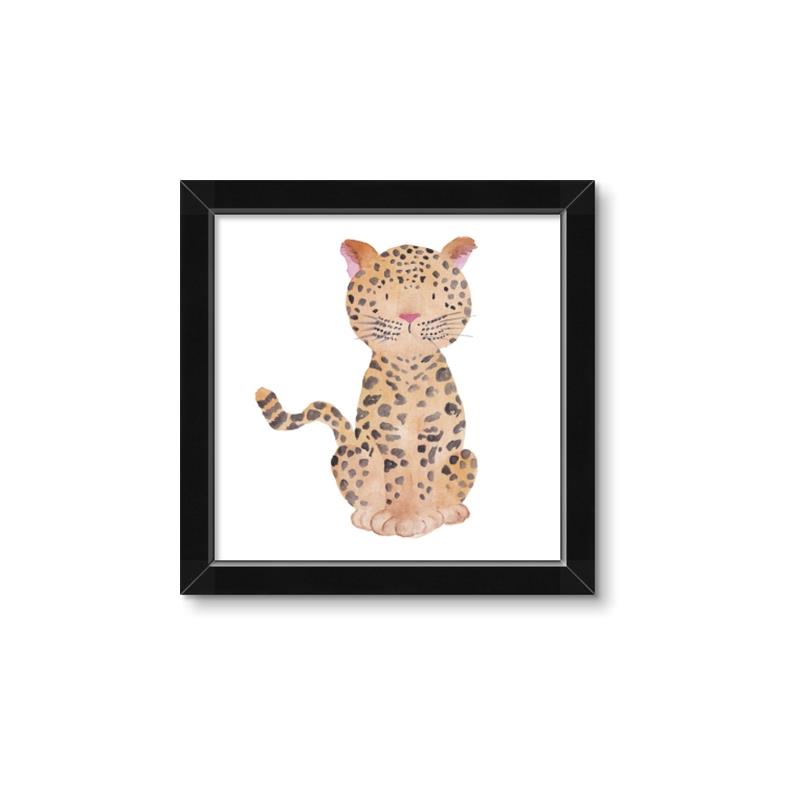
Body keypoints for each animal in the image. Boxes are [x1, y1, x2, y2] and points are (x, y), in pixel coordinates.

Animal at [255, 237, 478, 537]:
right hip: (347, 456)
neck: (409, 366)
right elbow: (398, 478)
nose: (410, 315)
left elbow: (423, 477)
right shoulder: (387, 435)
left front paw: (421, 517)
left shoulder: (431, 435)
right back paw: (368, 515)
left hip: (465, 456)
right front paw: (402, 518)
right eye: (384, 293)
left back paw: (448, 510)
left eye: (434, 292)